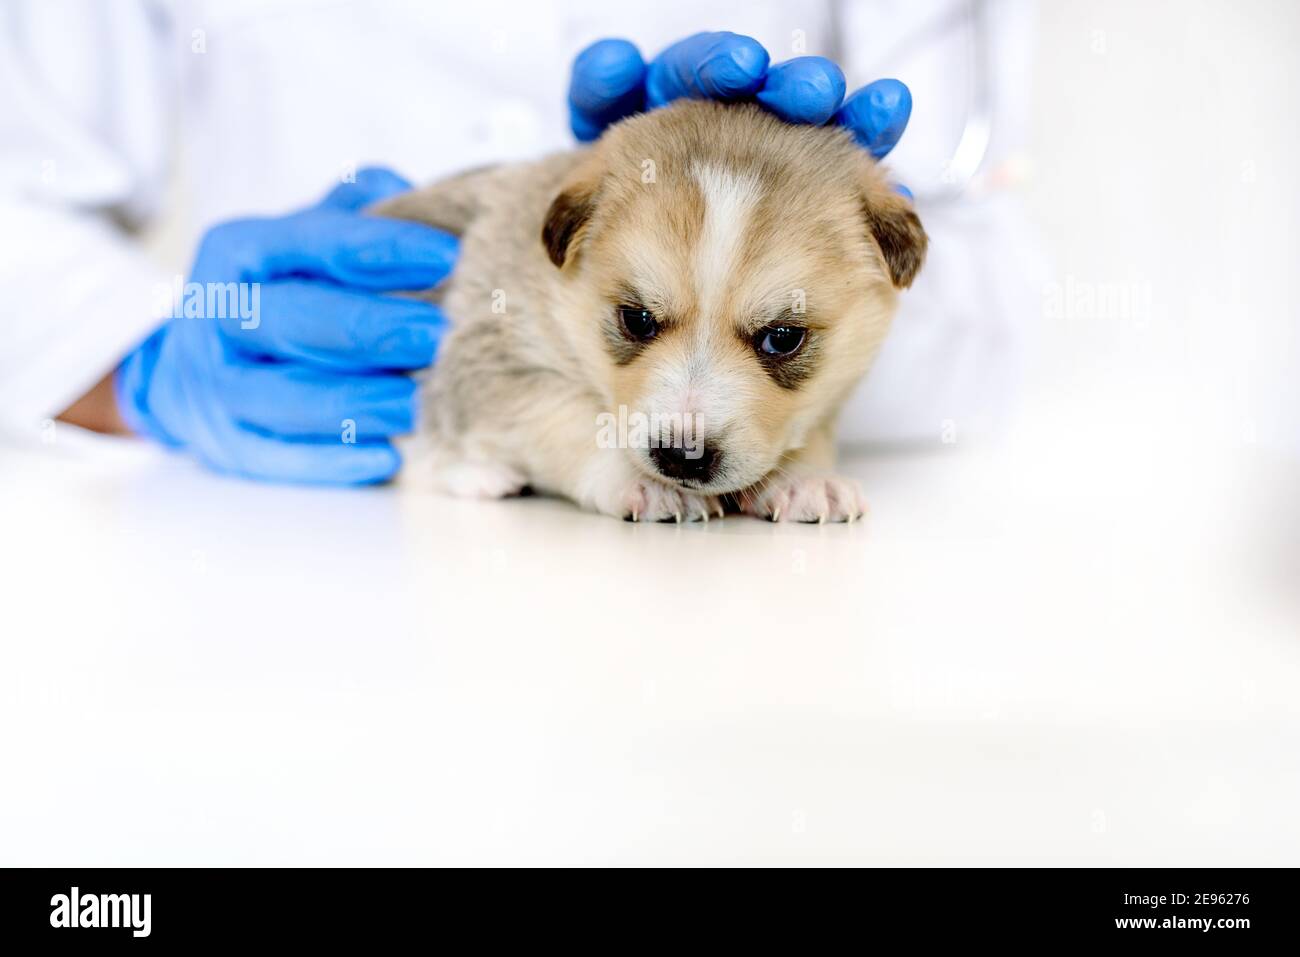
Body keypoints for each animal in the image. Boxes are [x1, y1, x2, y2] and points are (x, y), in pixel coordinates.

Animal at [377, 98, 925, 522]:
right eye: (637, 319)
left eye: (783, 337)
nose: (681, 457)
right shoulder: (496, 358)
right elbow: (573, 420)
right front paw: (640, 482)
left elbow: (808, 431)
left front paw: (805, 478)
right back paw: (477, 474)